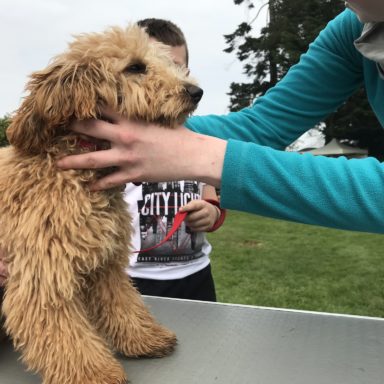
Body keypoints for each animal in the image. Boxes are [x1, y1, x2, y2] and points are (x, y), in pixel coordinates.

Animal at [0, 24, 202, 384]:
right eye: (135, 67)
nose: (196, 91)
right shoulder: (43, 276)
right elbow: (65, 335)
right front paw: (93, 373)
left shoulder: (106, 266)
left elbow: (123, 304)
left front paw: (145, 337)